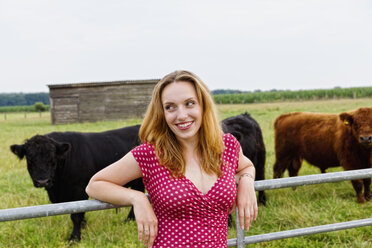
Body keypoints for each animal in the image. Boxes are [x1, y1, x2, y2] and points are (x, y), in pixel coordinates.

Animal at [10, 125, 144, 241]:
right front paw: (84, 226)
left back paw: (129, 220)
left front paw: (75, 237)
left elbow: (76, 215)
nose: (43, 181)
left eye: (53, 159)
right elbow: (79, 210)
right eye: (30, 159)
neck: (57, 188)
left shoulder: (79, 190)